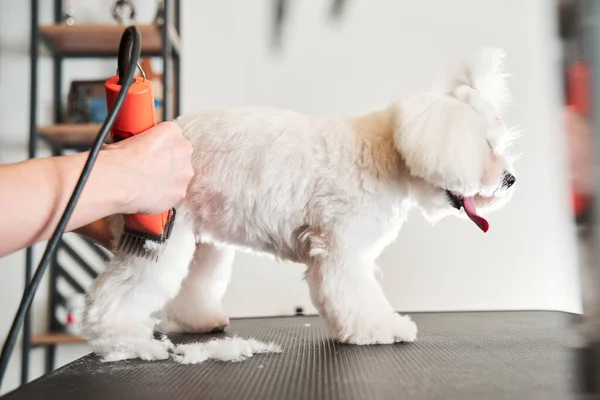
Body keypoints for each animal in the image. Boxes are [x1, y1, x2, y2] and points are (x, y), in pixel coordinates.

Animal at [81, 48, 520, 360]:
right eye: (486, 146)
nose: (511, 179)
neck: (387, 153)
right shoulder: (341, 249)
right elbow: (355, 296)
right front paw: (382, 329)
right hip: (158, 233)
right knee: (122, 288)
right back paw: (118, 337)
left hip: (201, 243)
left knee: (192, 285)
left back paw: (200, 321)